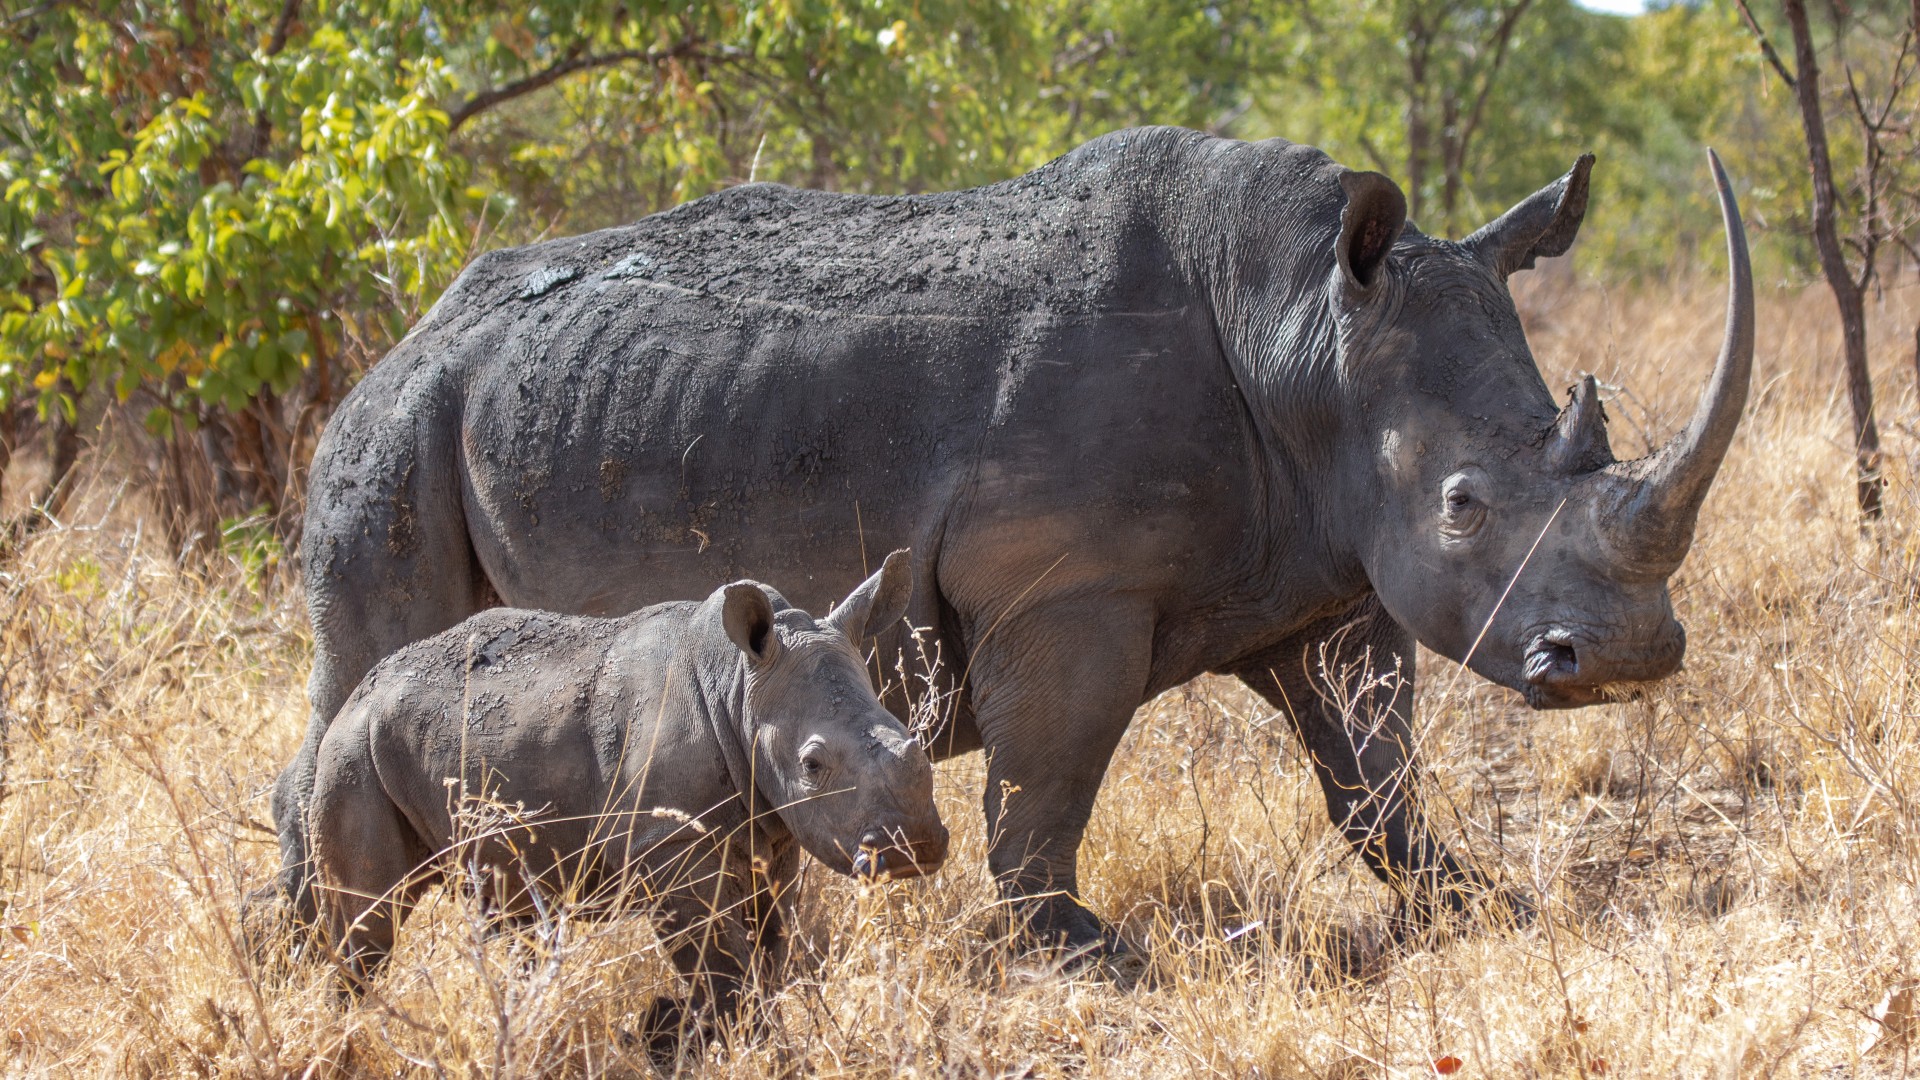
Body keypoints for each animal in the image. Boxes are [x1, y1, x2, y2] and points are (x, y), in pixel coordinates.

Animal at [307, 545, 944, 1037]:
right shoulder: (667, 848)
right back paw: (347, 1028)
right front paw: (741, 1043)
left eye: (913, 738)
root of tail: (360, 692)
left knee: (505, 909)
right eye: (812, 765)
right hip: (353, 751)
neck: (739, 689)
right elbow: (723, 965)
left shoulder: (776, 833)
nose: (914, 846)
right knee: (368, 924)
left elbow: (770, 948)